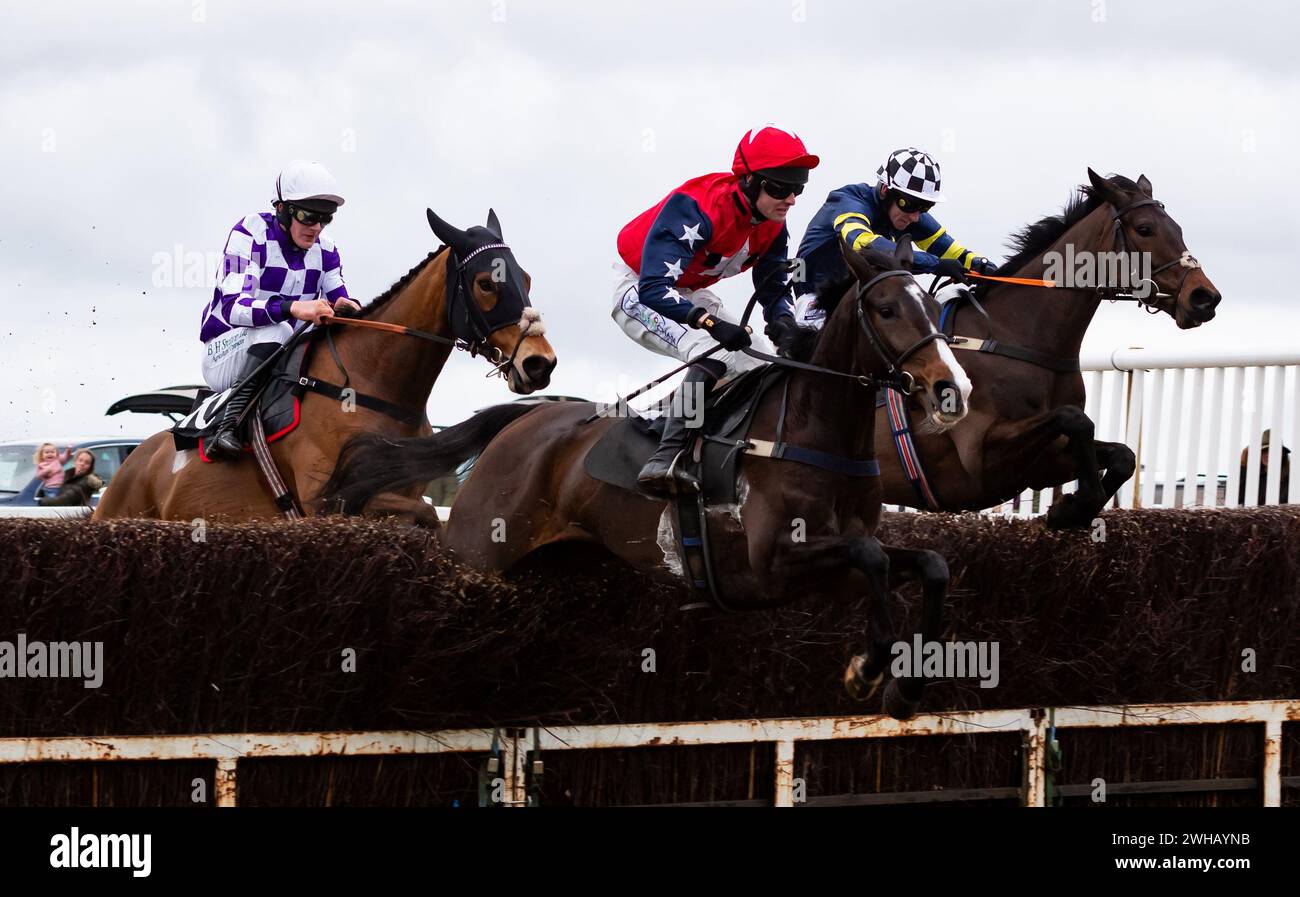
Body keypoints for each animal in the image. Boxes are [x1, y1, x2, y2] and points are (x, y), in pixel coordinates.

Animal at [94, 209, 556, 525]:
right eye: (485, 283)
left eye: (527, 279)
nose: (539, 363)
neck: (371, 384)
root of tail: (134, 462)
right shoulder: (326, 499)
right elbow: (426, 517)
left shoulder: (401, 486)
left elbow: (426, 516)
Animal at [327, 235, 977, 712]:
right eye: (887, 310)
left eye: (931, 308)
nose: (953, 389)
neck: (813, 431)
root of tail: (525, 419)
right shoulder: (775, 563)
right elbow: (872, 557)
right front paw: (868, 671)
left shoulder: (836, 571)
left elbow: (930, 564)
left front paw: (904, 685)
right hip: (478, 551)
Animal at [863, 169, 1216, 525]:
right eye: (1145, 229)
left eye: (1178, 228)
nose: (1204, 297)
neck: (1014, 336)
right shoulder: (982, 462)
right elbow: (1075, 419)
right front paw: (1074, 505)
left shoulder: (1048, 461)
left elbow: (1123, 456)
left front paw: (1070, 509)